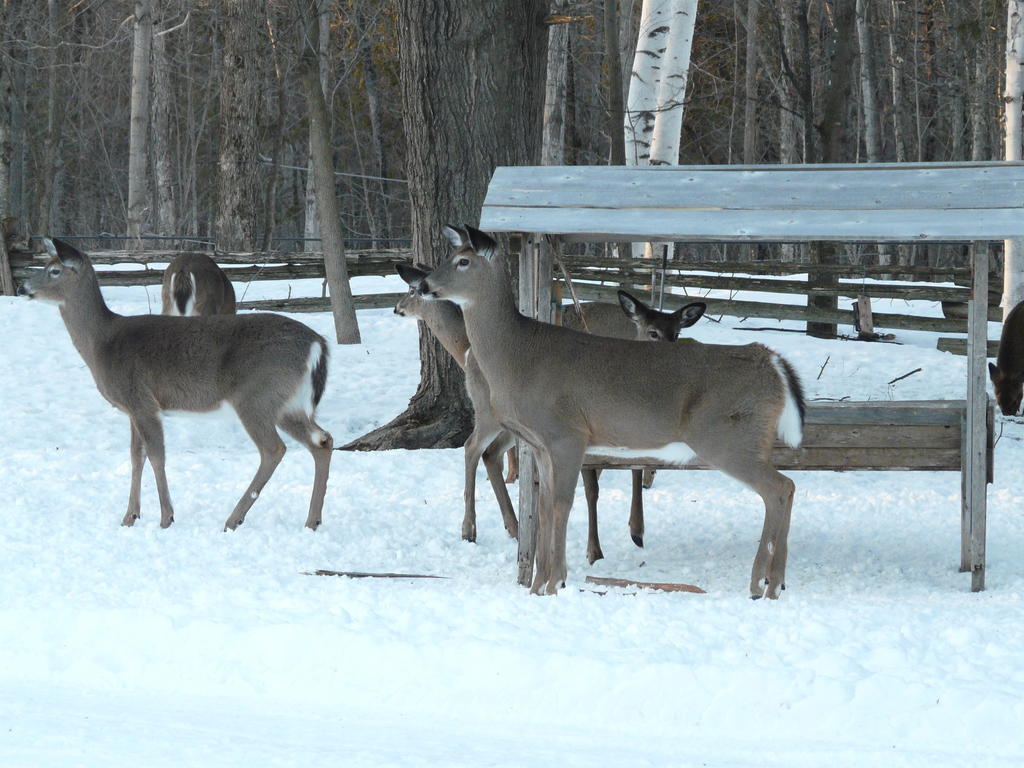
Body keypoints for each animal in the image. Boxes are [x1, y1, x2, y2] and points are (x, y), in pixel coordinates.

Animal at [18, 237, 333, 532]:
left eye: (55, 270)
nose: (22, 287)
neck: (101, 344)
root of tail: (318, 343)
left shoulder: (142, 401)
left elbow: (157, 456)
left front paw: (165, 518)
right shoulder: (132, 409)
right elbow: (136, 456)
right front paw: (129, 517)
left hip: (256, 397)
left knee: (274, 449)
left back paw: (233, 519)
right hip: (288, 403)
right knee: (322, 440)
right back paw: (312, 520)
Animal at [391, 264, 704, 561]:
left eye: (411, 290)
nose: (397, 307)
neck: (463, 347)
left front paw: (630, 533)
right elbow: (590, 485)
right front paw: (596, 548)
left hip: (494, 415)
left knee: (479, 450)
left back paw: (494, 527)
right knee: (479, 450)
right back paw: (490, 528)